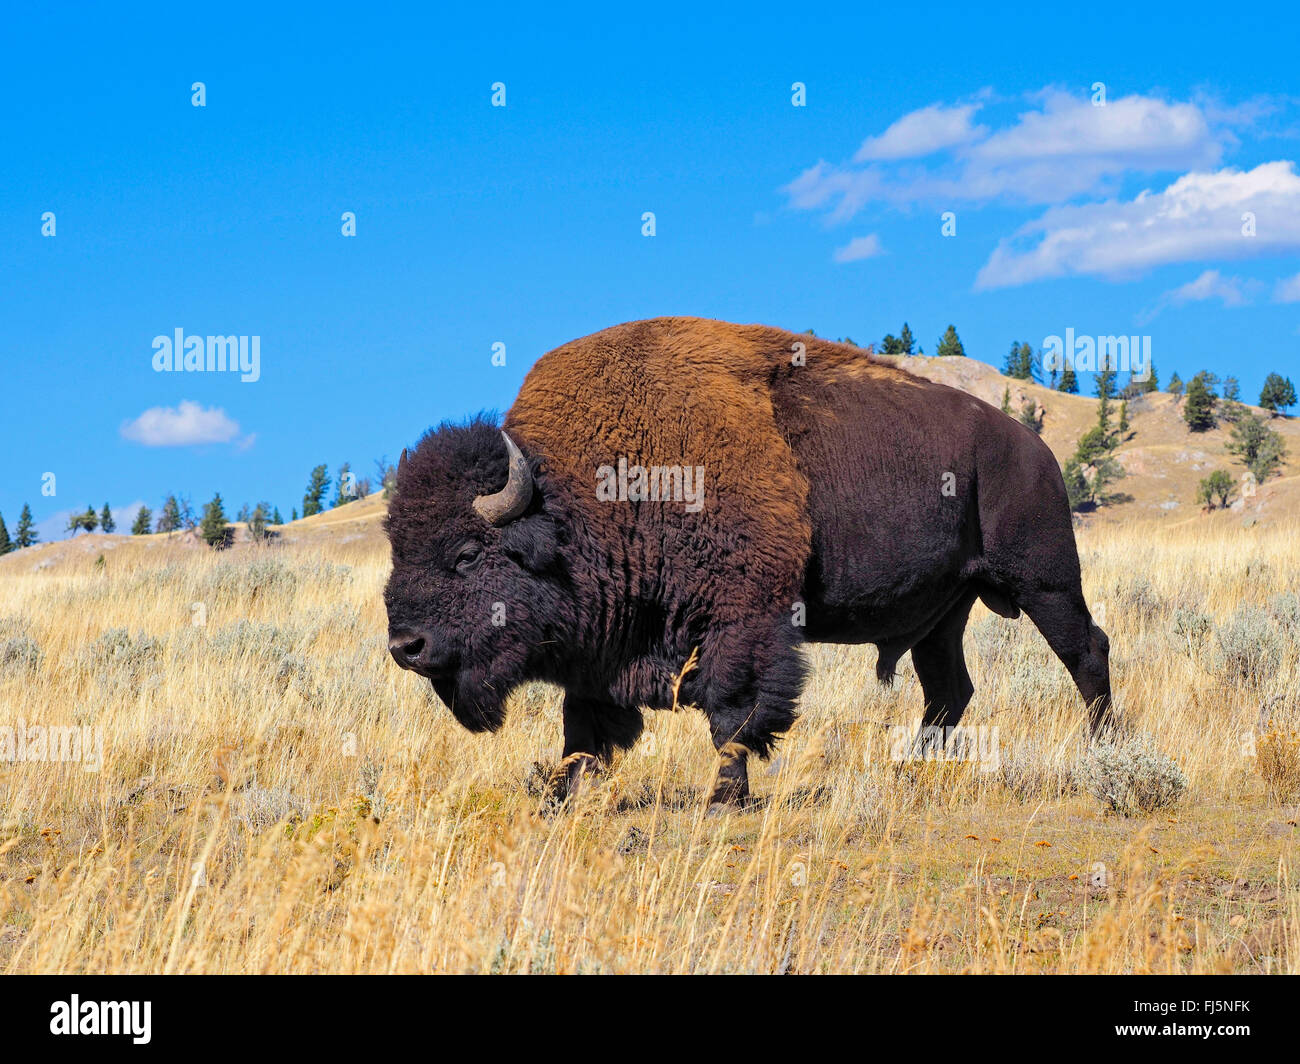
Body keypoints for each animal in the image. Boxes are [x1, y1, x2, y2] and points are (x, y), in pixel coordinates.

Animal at [379, 314, 1112, 806]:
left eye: (467, 553)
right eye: (396, 545)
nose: (405, 646)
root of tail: (1032, 446)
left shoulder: (744, 618)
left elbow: (731, 709)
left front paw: (725, 796)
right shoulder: (602, 648)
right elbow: (582, 727)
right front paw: (558, 795)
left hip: (1044, 580)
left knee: (1085, 650)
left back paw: (1105, 750)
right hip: (943, 612)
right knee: (947, 691)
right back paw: (909, 771)